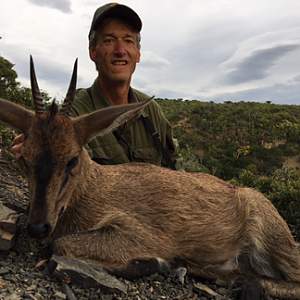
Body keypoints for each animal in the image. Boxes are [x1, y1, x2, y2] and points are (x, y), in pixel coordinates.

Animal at [0, 56, 300, 300]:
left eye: (72, 159)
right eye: (24, 157)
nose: (37, 226)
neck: (94, 190)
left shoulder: (139, 234)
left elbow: (58, 244)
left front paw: (151, 263)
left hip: (275, 242)